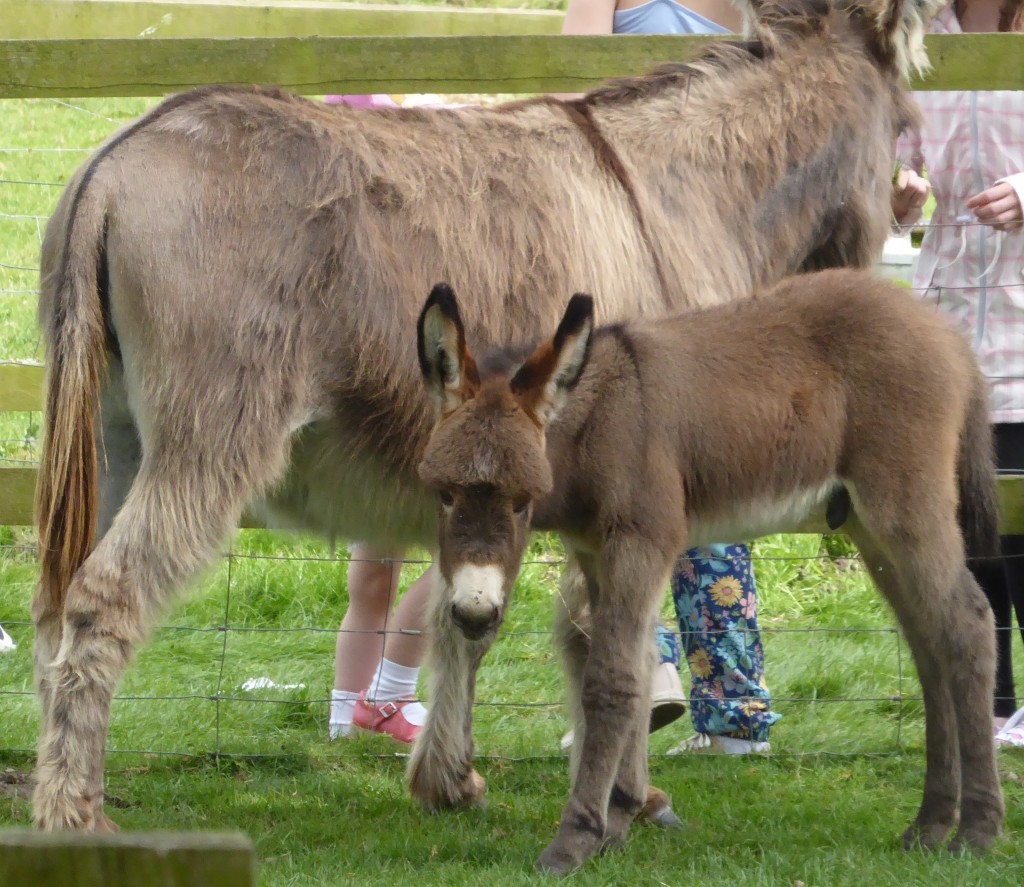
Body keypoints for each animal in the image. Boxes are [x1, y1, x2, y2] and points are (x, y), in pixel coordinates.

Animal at [411, 268, 1003, 872]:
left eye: (522, 504)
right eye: (443, 495)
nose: (474, 613)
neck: (601, 417)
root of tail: (946, 333)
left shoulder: (641, 541)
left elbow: (610, 681)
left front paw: (575, 838)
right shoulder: (598, 554)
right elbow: (637, 665)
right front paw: (618, 819)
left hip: (906, 506)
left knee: (969, 624)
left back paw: (977, 831)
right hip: (869, 528)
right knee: (929, 642)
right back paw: (930, 826)